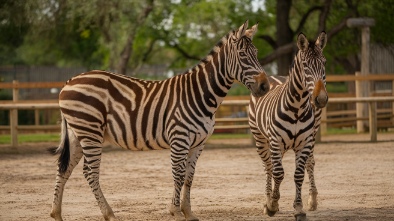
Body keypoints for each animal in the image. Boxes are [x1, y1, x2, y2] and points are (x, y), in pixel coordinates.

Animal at [48, 20, 270, 221]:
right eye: (243, 55)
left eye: (257, 53)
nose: (265, 87)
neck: (201, 95)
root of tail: (70, 81)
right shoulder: (179, 139)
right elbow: (178, 175)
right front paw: (176, 212)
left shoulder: (198, 144)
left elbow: (189, 177)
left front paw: (188, 212)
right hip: (90, 131)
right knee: (90, 172)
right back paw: (108, 214)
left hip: (78, 134)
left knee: (64, 169)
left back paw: (56, 213)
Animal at [248, 31, 328, 221]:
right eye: (305, 65)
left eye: (324, 63)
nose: (321, 99)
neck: (297, 107)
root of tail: (274, 75)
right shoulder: (276, 141)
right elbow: (278, 173)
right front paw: (272, 205)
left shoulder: (305, 142)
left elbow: (298, 174)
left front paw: (299, 208)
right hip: (261, 139)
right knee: (269, 167)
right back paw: (268, 200)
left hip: (310, 135)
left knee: (309, 163)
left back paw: (311, 199)